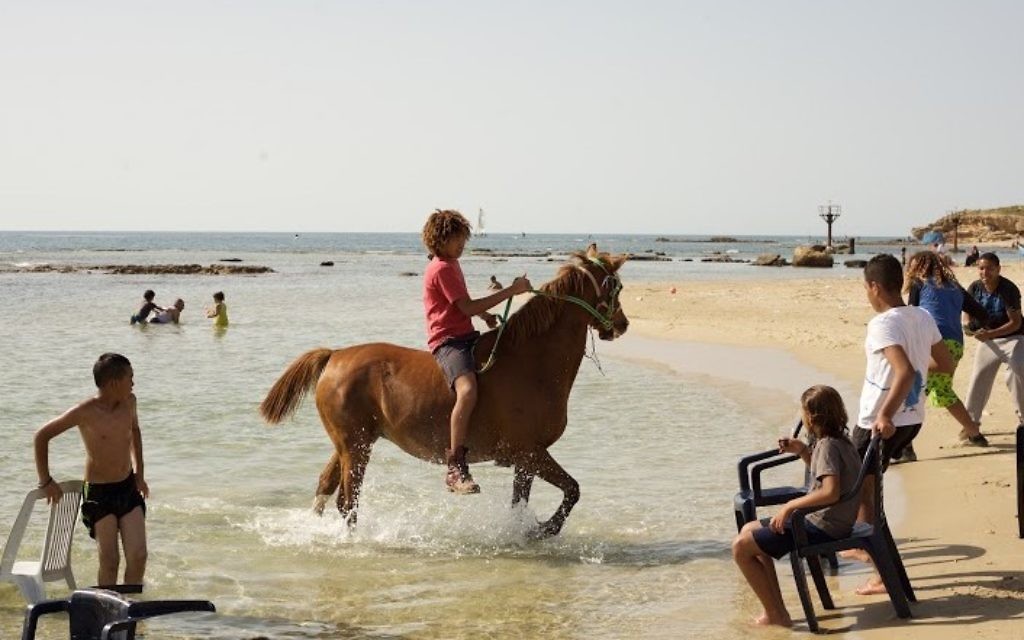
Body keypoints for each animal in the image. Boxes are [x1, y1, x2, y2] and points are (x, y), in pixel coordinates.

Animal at [259, 244, 629, 537]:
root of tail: (335, 355)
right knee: (348, 501)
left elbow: (524, 502)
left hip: (354, 442)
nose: (623, 325)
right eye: (616, 286)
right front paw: (545, 529)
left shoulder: (526, 460)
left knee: (327, 488)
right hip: (355, 447)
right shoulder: (529, 452)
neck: (530, 362)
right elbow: (573, 490)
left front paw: (524, 531)